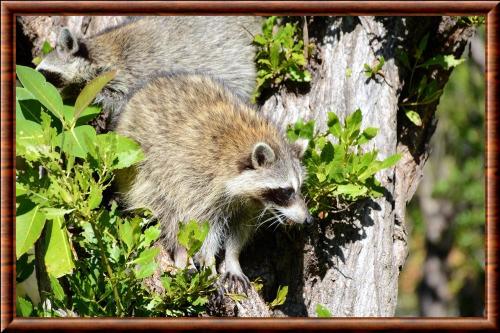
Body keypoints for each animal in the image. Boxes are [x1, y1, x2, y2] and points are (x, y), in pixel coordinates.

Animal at [116, 73, 312, 290]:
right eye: (286, 191)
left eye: (298, 188)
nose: (308, 219)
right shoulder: (199, 182)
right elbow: (201, 227)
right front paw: (208, 263)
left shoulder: (247, 204)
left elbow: (239, 228)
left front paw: (233, 259)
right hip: (143, 171)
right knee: (169, 212)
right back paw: (181, 255)